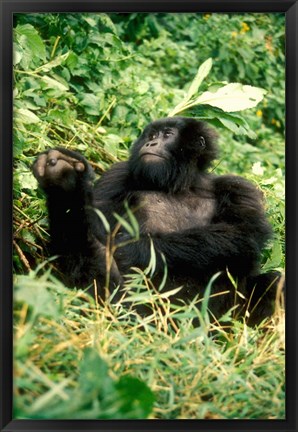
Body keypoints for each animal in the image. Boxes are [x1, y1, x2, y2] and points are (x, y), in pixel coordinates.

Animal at [32, 117, 282, 324]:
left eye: (167, 135)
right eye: (151, 136)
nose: (151, 145)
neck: (179, 184)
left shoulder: (239, 188)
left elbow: (243, 236)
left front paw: (134, 249)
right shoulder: (116, 175)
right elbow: (99, 226)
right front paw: (67, 187)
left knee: (274, 280)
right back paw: (66, 191)